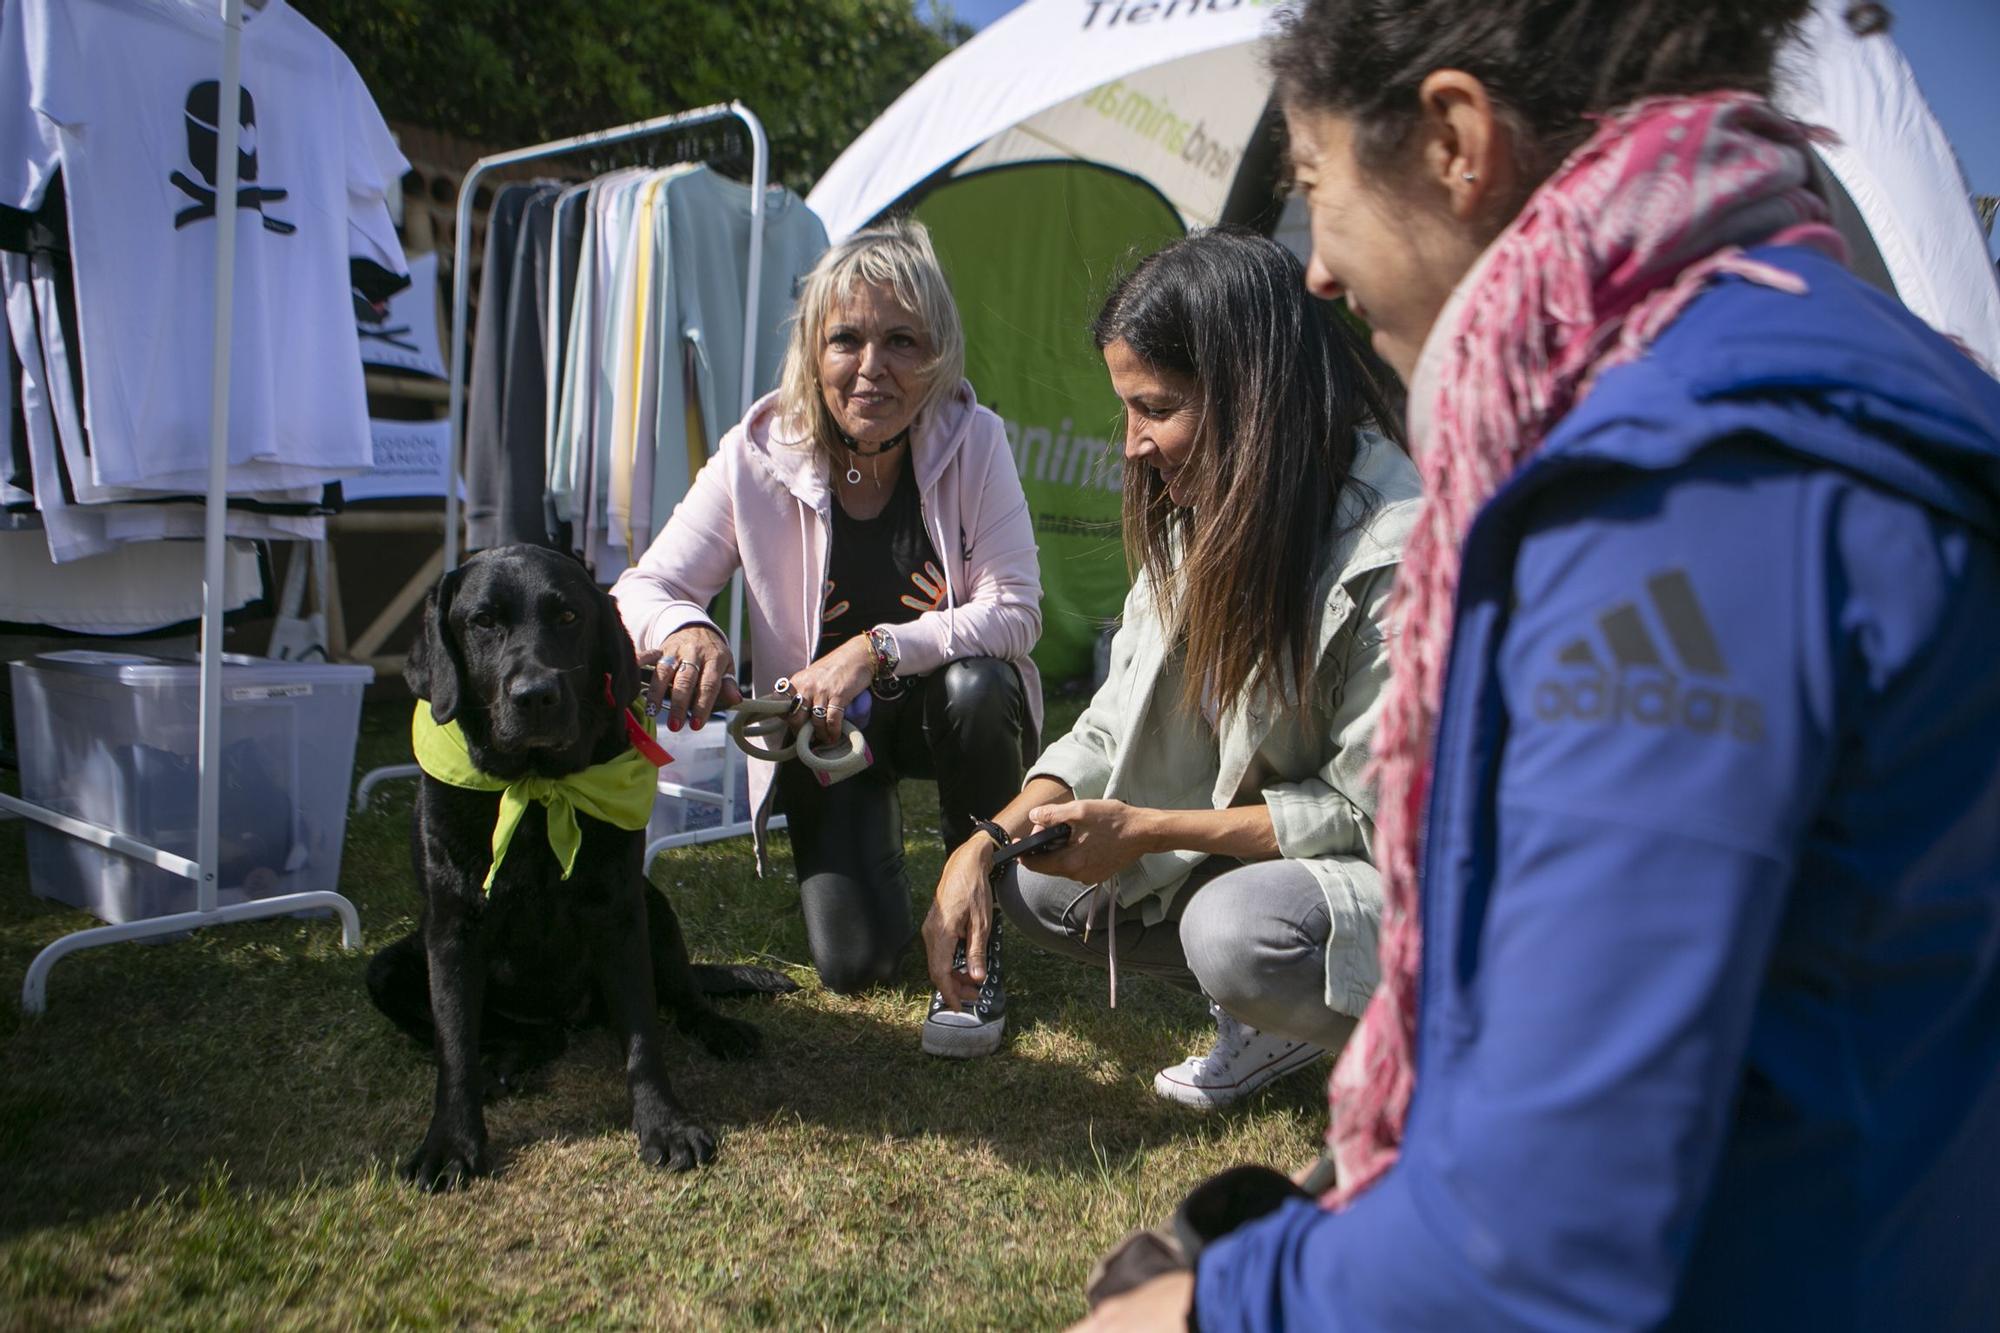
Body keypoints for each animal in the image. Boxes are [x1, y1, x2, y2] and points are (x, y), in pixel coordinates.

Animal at [368, 544, 788, 1184]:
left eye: (568, 617)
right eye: (483, 622)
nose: (535, 695)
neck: (538, 791)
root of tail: (566, 1020)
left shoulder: (620, 913)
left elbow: (642, 1037)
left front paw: (664, 1125)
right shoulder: (451, 928)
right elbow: (454, 1045)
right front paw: (451, 1143)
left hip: (655, 907)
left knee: (684, 992)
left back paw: (716, 1026)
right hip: (389, 966)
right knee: (496, 1032)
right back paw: (508, 1059)